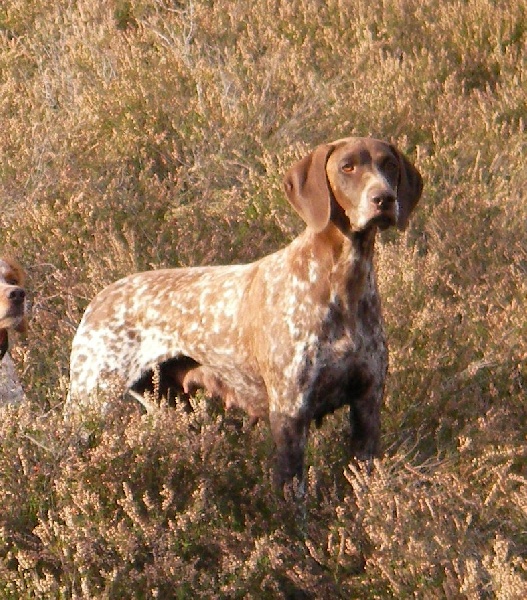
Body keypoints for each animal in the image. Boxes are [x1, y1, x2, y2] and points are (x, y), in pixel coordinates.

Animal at [68, 138, 424, 494]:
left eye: (389, 165)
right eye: (347, 167)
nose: (384, 198)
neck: (344, 281)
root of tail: (100, 298)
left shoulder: (367, 405)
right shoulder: (290, 413)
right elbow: (292, 494)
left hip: (167, 405)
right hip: (91, 400)